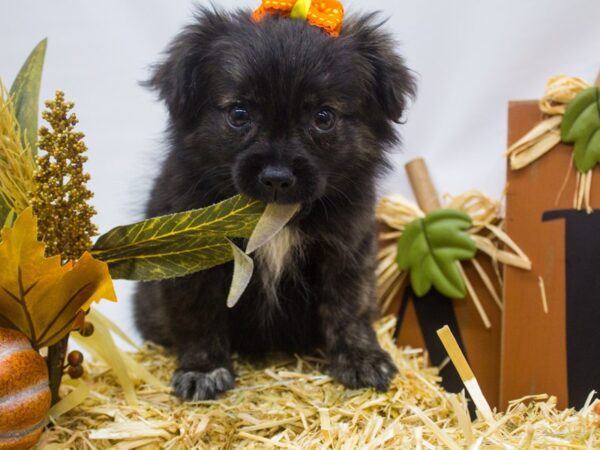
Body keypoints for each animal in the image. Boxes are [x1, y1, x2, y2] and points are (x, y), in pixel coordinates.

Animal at [135, 7, 418, 400]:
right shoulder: (193, 262)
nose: (277, 177)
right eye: (239, 114)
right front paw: (203, 369)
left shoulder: (346, 251)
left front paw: (361, 358)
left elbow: (349, 308)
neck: (274, 216)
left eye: (323, 117)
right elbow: (199, 315)